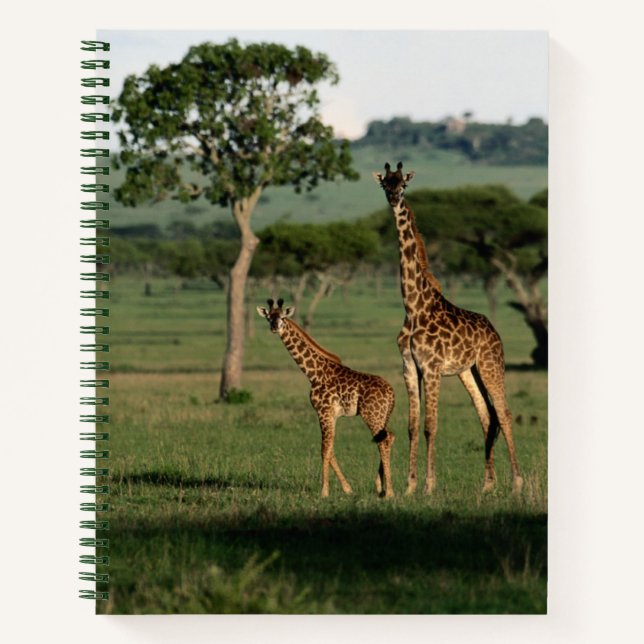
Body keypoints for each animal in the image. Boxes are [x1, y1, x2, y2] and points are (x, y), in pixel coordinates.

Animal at [256, 298, 396, 498]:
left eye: (282, 317)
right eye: (269, 317)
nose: (275, 327)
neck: (314, 373)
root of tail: (392, 393)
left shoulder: (323, 411)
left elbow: (324, 449)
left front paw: (324, 491)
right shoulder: (332, 415)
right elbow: (331, 449)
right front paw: (347, 489)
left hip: (372, 415)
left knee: (383, 441)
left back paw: (389, 492)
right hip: (383, 416)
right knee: (389, 437)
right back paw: (380, 487)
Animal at [372, 162, 523, 495]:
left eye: (403, 185)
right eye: (385, 184)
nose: (394, 198)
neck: (413, 307)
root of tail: (495, 331)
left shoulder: (432, 368)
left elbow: (431, 426)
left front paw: (429, 486)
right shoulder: (409, 367)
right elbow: (413, 426)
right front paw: (409, 486)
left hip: (491, 365)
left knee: (504, 413)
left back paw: (517, 482)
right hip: (469, 371)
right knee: (487, 415)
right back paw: (487, 484)